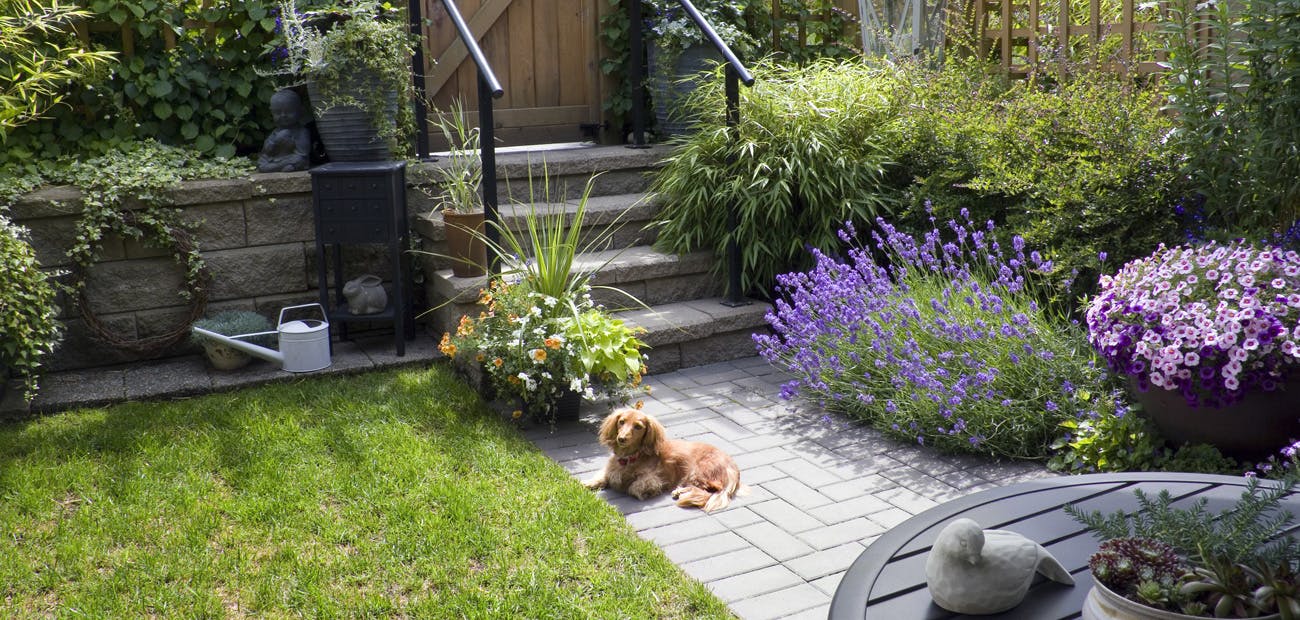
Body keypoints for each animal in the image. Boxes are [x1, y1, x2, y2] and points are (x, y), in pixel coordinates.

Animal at [587, 405, 748, 512]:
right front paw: (587, 483)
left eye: (638, 426)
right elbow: (602, 476)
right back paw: (680, 491)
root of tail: (733, 467)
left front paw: (641, 491)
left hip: (698, 472)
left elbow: (635, 487)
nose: (621, 439)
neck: (630, 458)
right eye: (621, 421)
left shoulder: (653, 478)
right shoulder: (611, 468)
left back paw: (681, 492)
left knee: (709, 491)